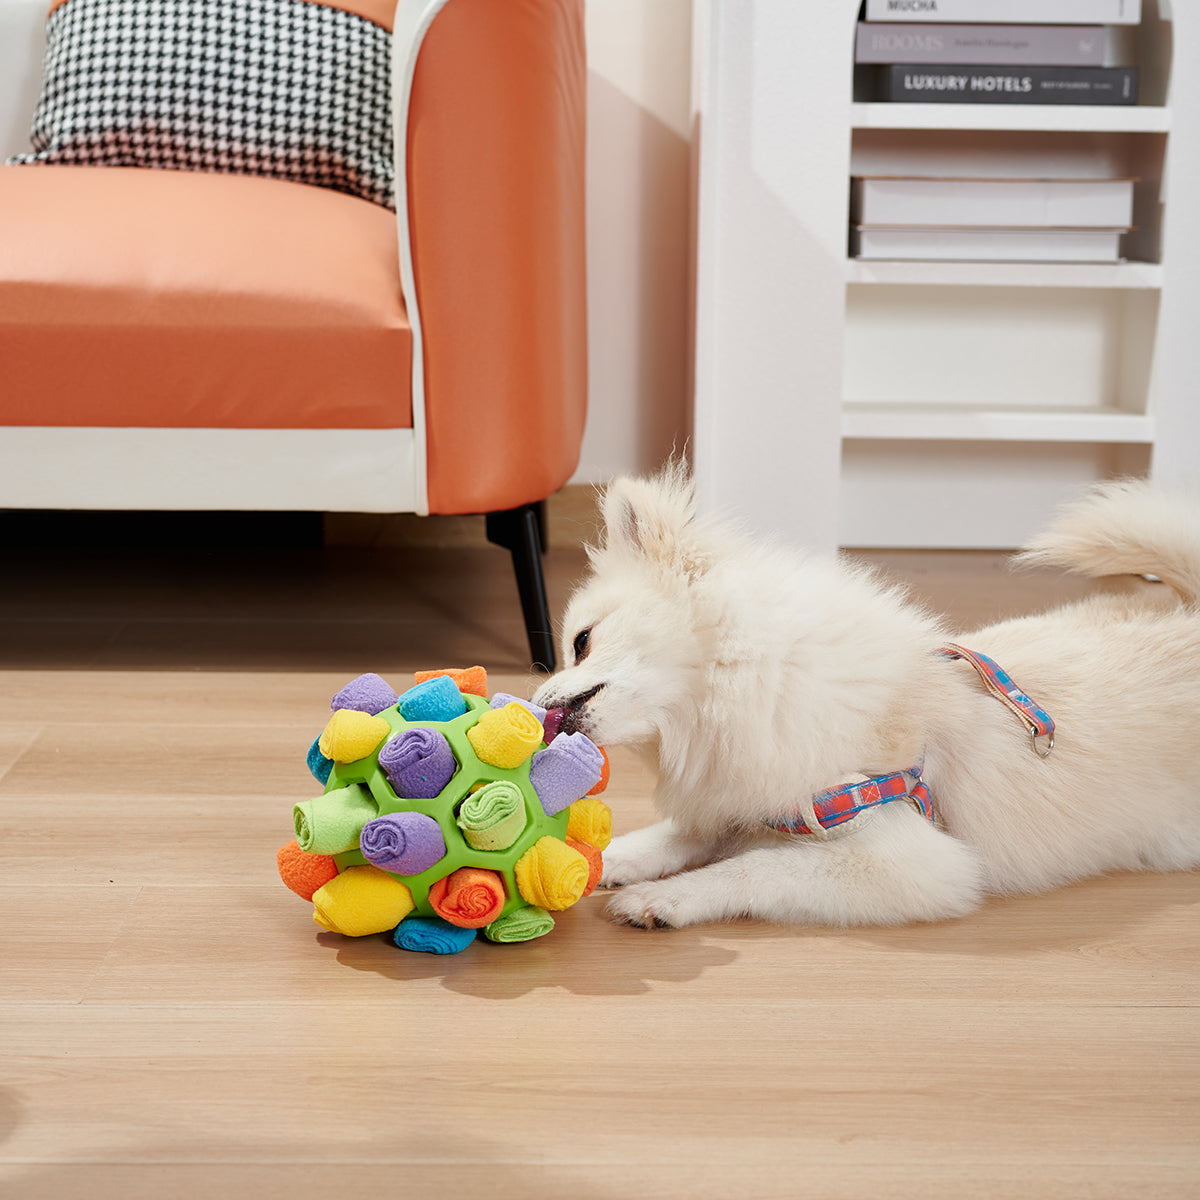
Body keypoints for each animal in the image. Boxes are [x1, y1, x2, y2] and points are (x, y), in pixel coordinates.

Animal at [535, 465, 1200, 926]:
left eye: (582, 642)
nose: (538, 701)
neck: (740, 684)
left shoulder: (917, 862)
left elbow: (754, 865)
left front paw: (663, 898)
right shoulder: (745, 798)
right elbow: (679, 835)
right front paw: (606, 857)